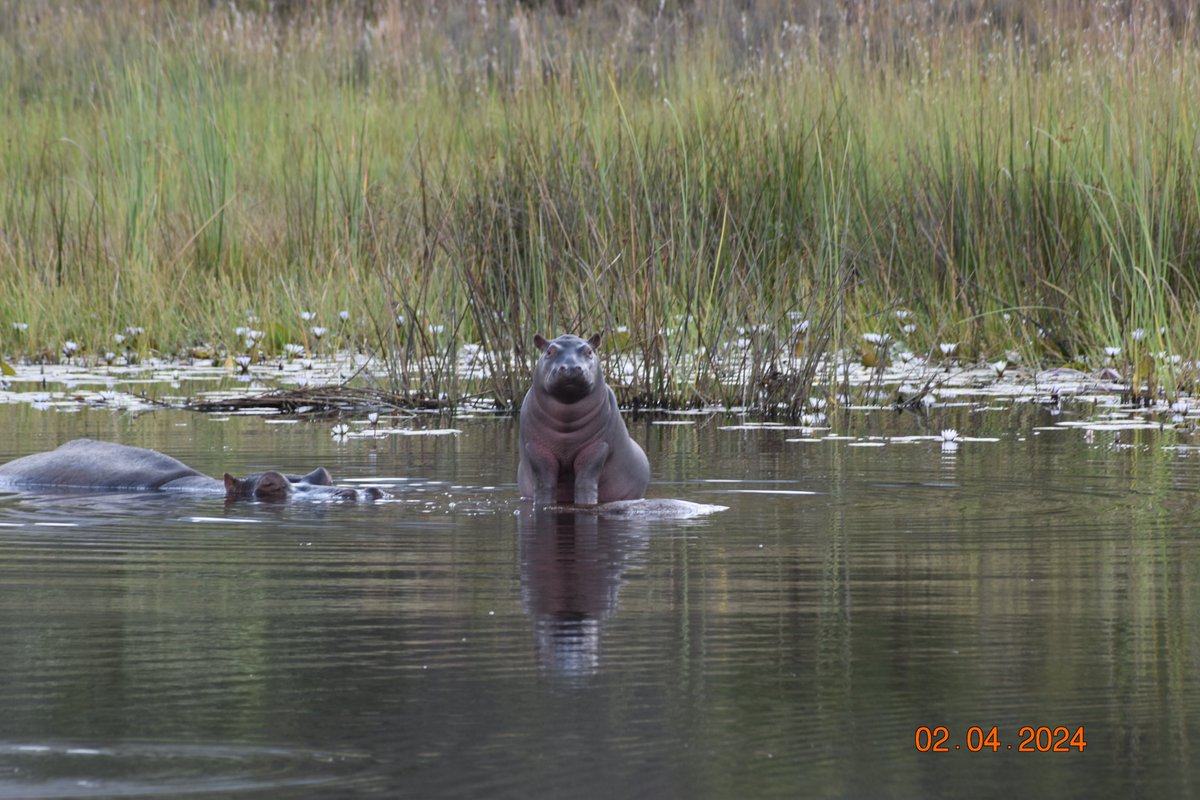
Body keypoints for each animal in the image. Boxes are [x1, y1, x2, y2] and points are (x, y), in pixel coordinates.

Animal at [518, 333, 650, 505]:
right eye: (549, 351)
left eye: (588, 351)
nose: (571, 368)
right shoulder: (536, 448)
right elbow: (544, 483)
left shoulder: (597, 447)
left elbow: (585, 482)